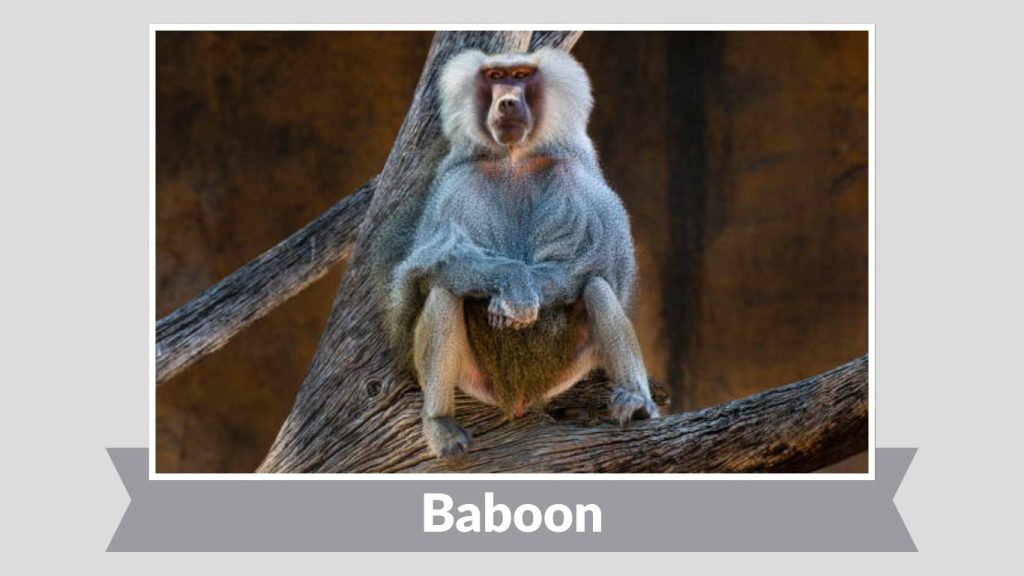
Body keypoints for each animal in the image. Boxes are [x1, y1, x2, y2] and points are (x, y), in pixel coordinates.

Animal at [371, 47, 658, 459]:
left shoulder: (576, 177)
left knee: (597, 289)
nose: (506, 101)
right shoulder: (456, 184)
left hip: (564, 372)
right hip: (476, 381)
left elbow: (583, 262)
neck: (514, 158)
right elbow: (441, 259)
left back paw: (636, 402)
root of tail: (519, 398)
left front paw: (517, 297)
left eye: (521, 75)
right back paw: (439, 424)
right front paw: (511, 288)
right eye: (494, 76)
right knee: (444, 294)